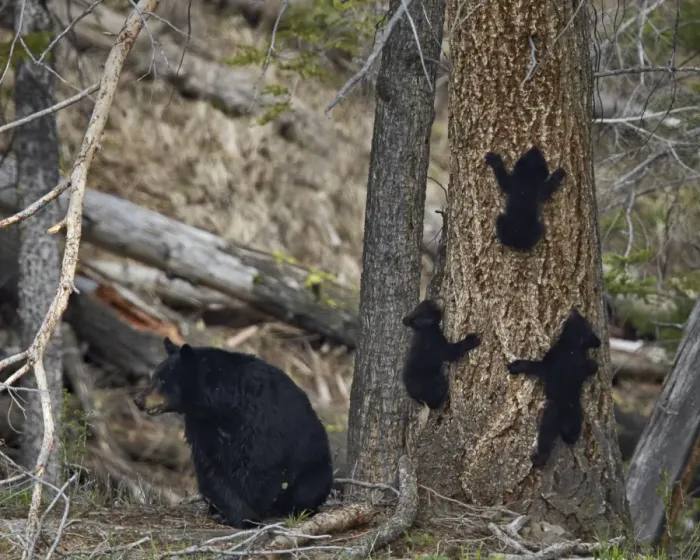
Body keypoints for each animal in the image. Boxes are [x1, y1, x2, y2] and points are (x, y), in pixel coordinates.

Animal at [133, 337, 334, 528]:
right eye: (154, 377)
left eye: (162, 380)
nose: (138, 400)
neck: (223, 406)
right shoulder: (202, 425)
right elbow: (211, 467)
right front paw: (228, 512)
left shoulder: (259, 420)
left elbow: (259, 464)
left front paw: (244, 517)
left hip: (313, 467)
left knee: (306, 490)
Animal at [507, 307, 601, 467]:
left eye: (581, 319)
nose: (574, 309)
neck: (571, 347)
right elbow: (591, 366)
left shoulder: (550, 362)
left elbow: (533, 365)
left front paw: (514, 366)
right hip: (575, 416)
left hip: (552, 416)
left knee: (546, 437)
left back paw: (539, 458)